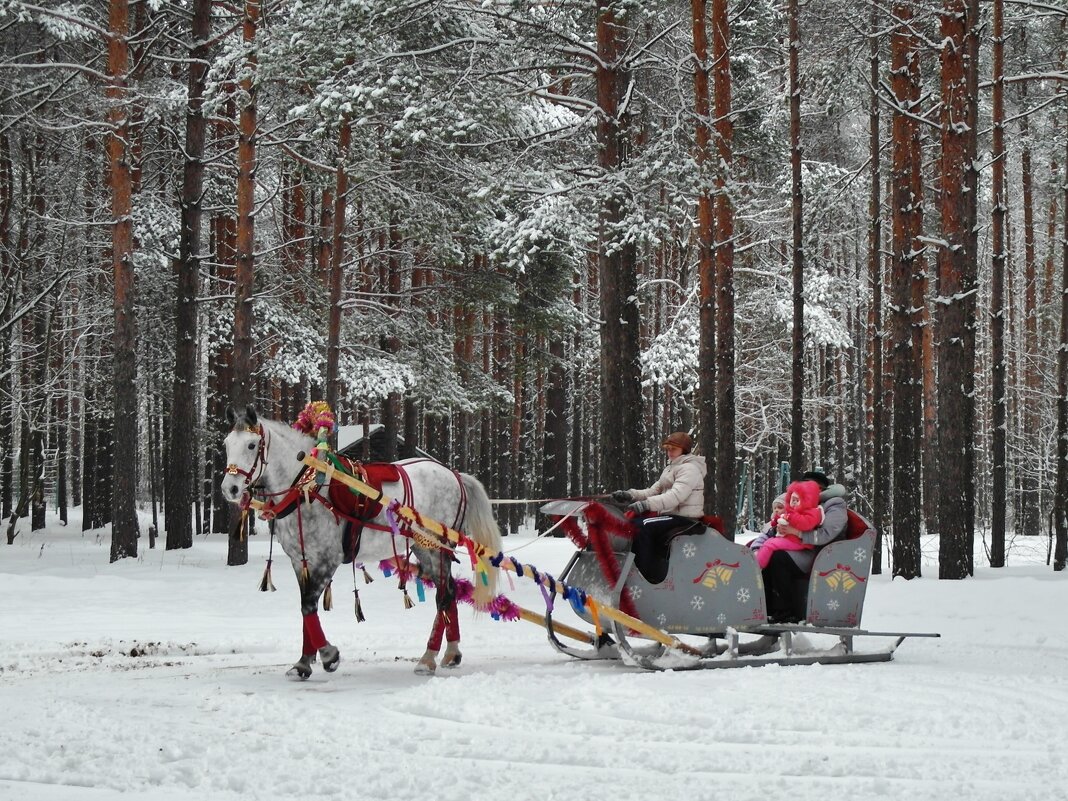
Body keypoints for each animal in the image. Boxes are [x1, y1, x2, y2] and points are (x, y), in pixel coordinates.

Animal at [218, 403, 501, 679]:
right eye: (226, 443)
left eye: (251, 445)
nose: (229, 488)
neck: (306, 487)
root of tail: (454, 474)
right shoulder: (301, 561)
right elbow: (306, 609)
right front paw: (303, 662)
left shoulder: (326, 559)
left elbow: (308, 606)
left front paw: (329, 655)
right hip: (427, 550)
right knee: (449, 592)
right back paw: (451, 653)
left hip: (433, 548)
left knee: (444, 595)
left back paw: (428, 657)